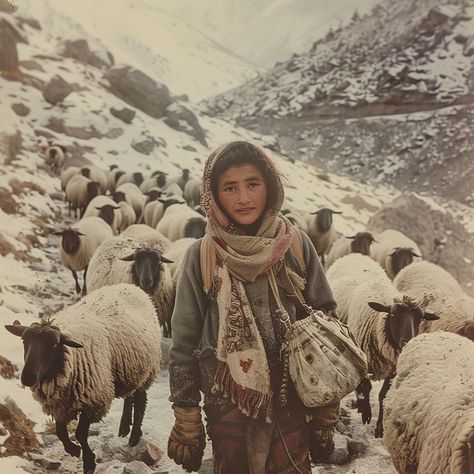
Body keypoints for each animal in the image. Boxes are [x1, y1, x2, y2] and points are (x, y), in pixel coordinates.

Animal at [4, 284, 162, 472]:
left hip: (146, 369)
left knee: (139, 399)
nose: (27, 378)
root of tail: (131, 286)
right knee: (129, 396)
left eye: (54, 344)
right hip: (128, 369)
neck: (70, 360)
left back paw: (134, 435)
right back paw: (124, 426)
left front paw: (88, 461)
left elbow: (80, 433)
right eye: (23, 340)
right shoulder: (60, 404)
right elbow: (60, 432)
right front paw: (72, 449)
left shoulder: (93, 401)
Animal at [324, 256, 438, 436]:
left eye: (420, 318)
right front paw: (366, 414)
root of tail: (355, 255)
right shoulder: (361, 359)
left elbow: (383, 395)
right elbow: (366, 387)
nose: (407, 342)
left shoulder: (393, 368)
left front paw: (379, 428)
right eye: (394, 315)